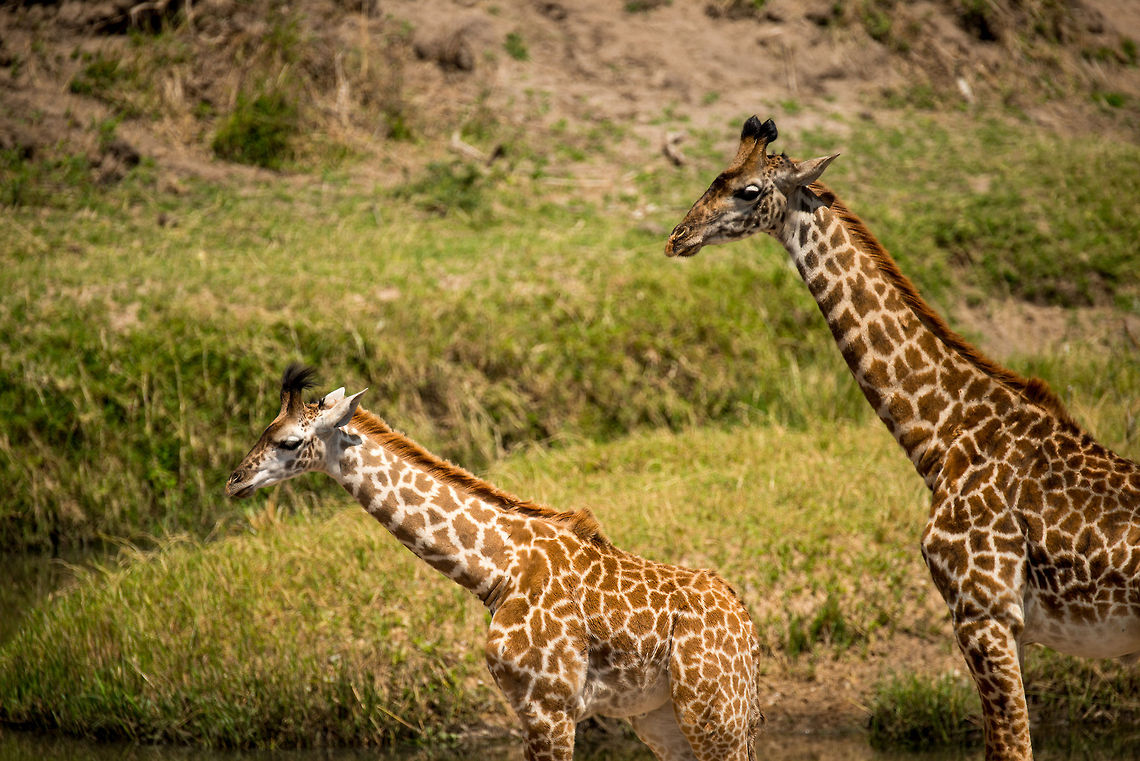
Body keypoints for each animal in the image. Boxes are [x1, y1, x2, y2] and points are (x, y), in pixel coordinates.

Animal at [226, 364, 763, 761]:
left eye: (289, 442)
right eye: (264, 430)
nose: (234, 481)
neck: (495, 571)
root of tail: (749, 632)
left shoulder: (551, 707)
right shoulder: (533, 710)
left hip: (713, 713)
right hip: (663, 718)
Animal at [664, 116, 1140, 760]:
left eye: (747, 189)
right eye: (717, 176)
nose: (677, 237)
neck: (942, 439)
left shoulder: (985, 613)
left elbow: (1010, 748)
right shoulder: (1001, 624)